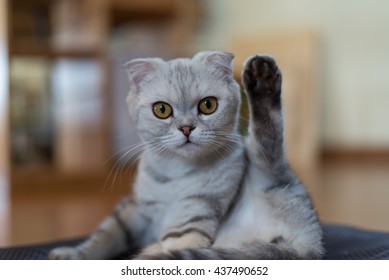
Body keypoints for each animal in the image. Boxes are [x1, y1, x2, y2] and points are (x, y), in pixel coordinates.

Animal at [48, 50, 322, 260]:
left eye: (208, 105)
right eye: (162, 110)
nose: (187, 128)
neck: (174, 173)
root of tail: (308, 245)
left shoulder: (194, 218)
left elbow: (176, 240)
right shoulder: (133, 211)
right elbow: (104, 237)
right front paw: (73, 254)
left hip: (265, 167)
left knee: (270, 134)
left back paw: (262, 76)